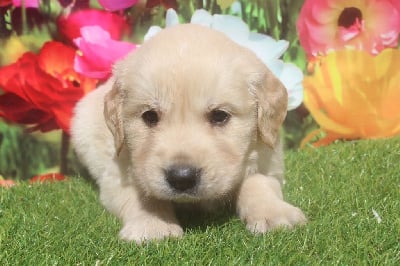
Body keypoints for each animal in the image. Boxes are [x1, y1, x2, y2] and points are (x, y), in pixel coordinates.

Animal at [70, 23, 304, 242]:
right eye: (150, 116)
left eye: (219, 116)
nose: (181, 178)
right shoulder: (117, 172)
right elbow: (143, 195)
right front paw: (153, 225)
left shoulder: (267, 156)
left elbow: (259, 182)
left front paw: (274, 214)